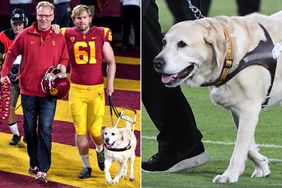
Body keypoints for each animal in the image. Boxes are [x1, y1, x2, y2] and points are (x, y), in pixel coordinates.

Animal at [153, 11, 282, 183]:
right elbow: (248, 146)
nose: (157, 62)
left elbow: (240, 147)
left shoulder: (249, 109)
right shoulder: (238, 110)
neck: (231, 54)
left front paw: (229, 175)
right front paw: (262, 165)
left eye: (182, 44)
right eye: (164, 42)